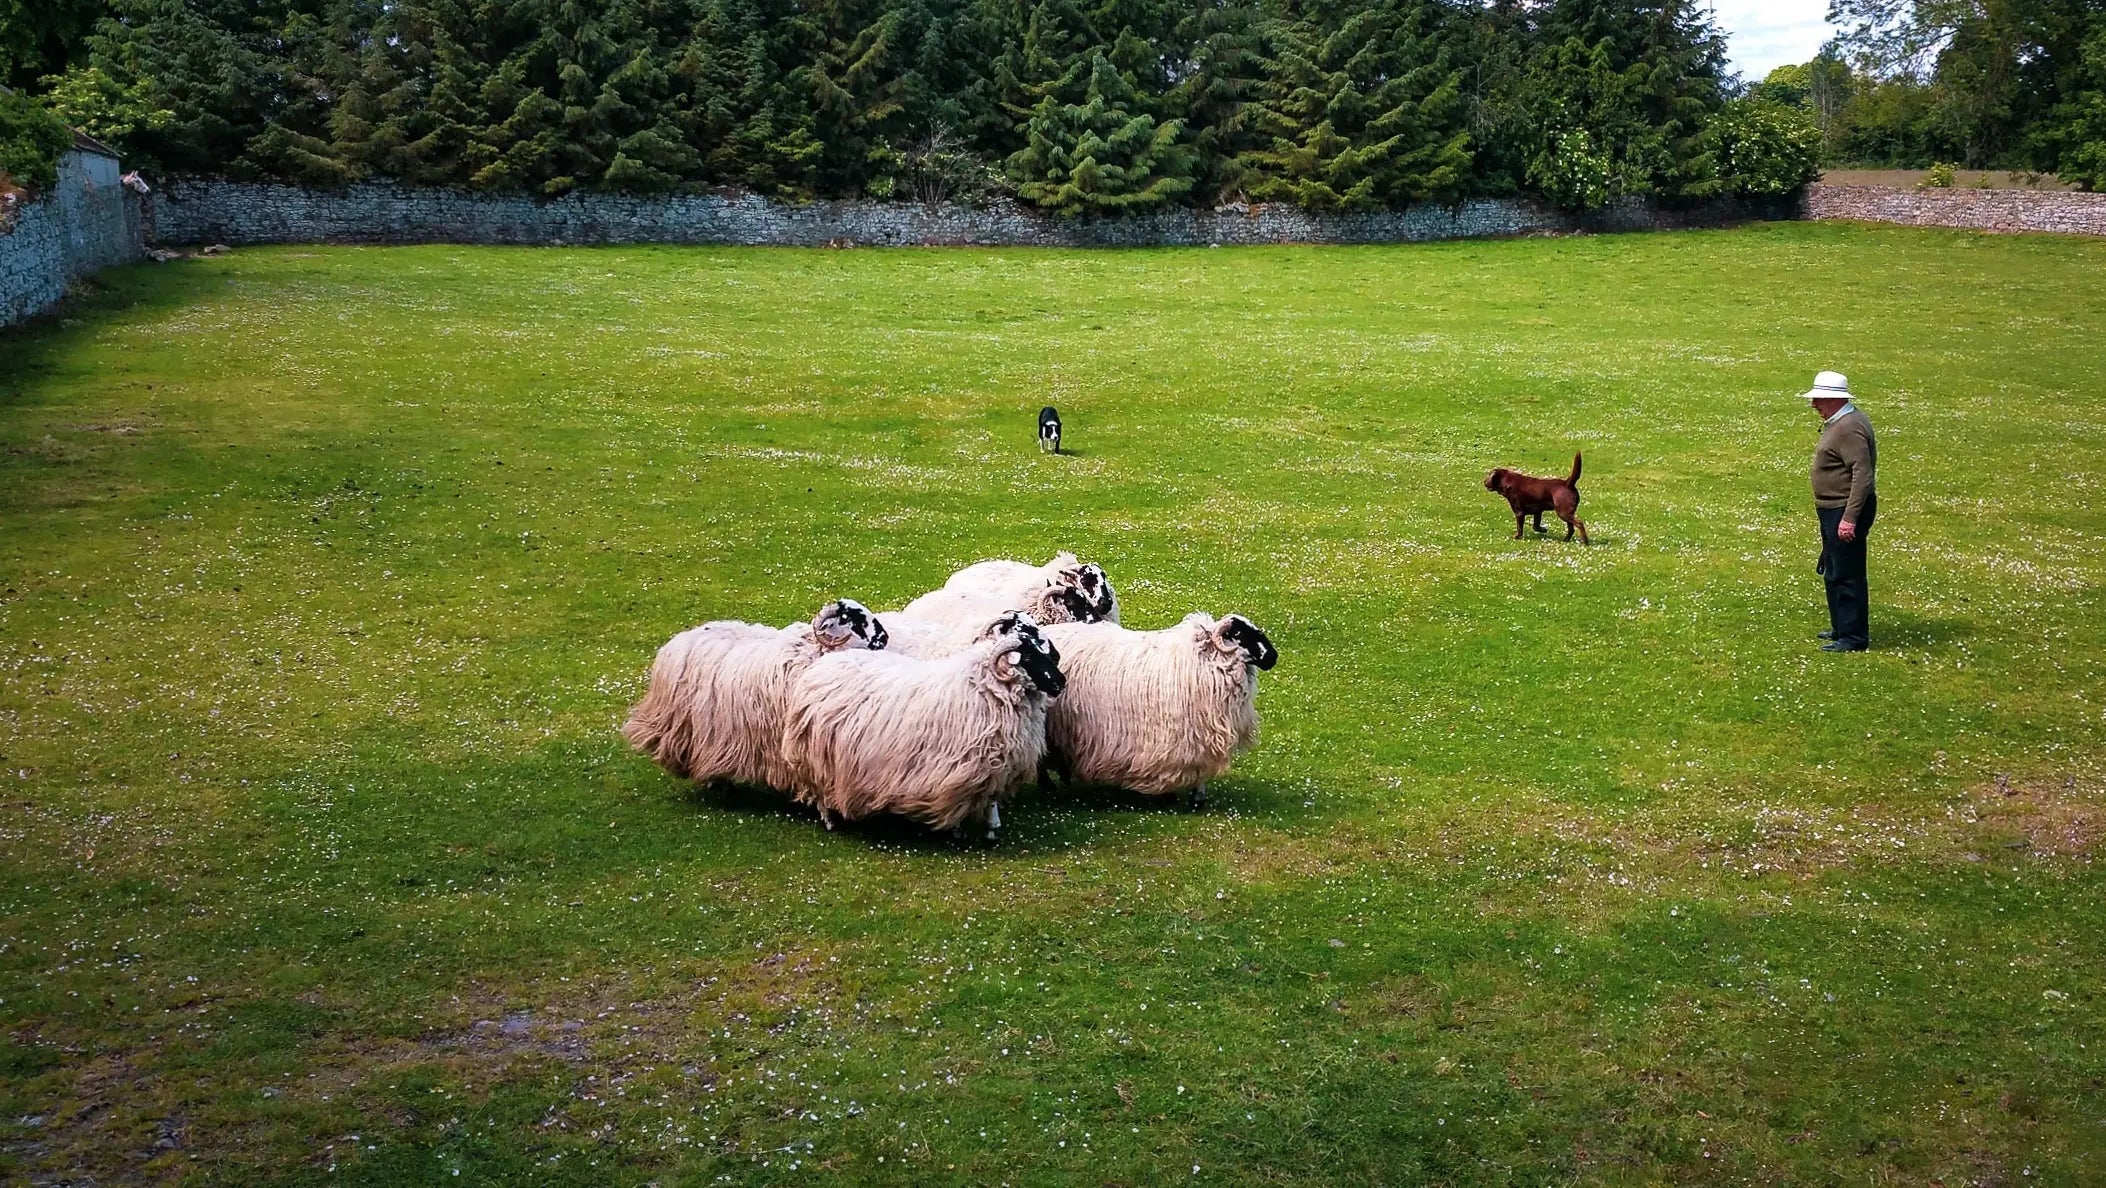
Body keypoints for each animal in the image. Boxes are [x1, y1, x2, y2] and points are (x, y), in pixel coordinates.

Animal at [779, 606, 1069, 838]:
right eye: (1028, 653)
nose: (1060, 677)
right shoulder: (957, 766)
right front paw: (959, 830)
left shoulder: (992, 758)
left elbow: (990, 797)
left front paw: (992, 828)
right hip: (818, 754)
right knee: (819, 789)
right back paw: (830, 820)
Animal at [1040, 610, 1272, 808]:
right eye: (1240, 634)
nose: (1273, 657)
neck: (1206, 661)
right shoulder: (1177, 739)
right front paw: (1171, 797)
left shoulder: (1202, 737)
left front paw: (1197, 798)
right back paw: (1048, 786)